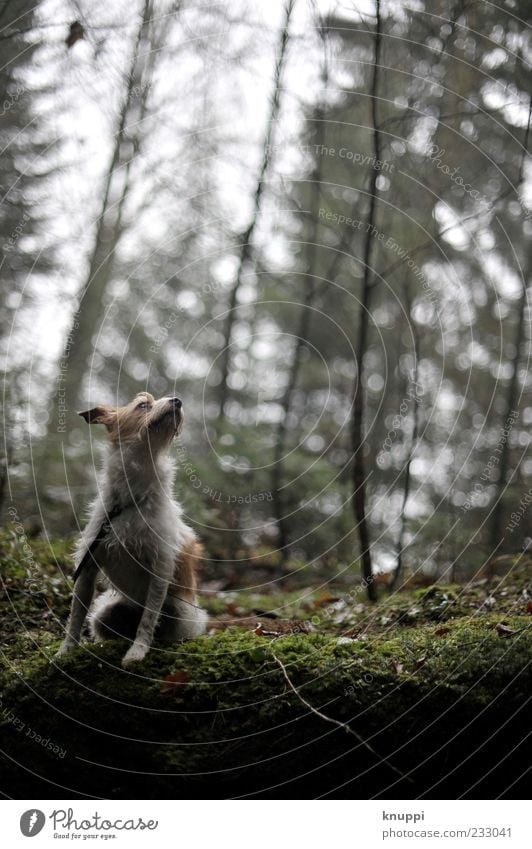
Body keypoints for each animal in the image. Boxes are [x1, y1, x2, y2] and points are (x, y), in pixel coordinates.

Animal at [57, 390, 207, 664]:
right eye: (143, 405)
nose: (177, 400)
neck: (132, 498)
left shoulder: (160, 569)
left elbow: (148, 621)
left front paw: (137, 652)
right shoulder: (88, 567)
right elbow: (75, 617)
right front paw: (66, 650)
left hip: (179, 611)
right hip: (104, 615)